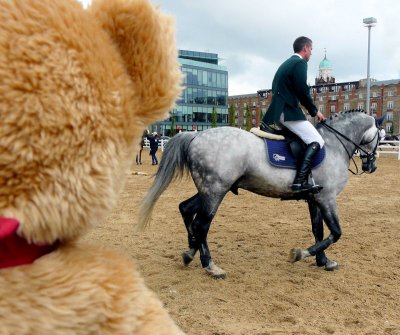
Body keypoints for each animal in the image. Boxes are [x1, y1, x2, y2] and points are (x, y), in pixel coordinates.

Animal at [138, 111, 378, 280]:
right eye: (380, 136)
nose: (371, 166)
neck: (333, 144)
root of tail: (197, 135)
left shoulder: (315, 199)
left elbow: (318, 230)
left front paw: (323, 261)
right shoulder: (327, 198)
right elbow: (335, 233)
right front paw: (300, 254)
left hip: (209, 190)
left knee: (186, 210)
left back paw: (191, 250)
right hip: (215, 191)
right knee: (201, 225)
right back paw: (208, 264)